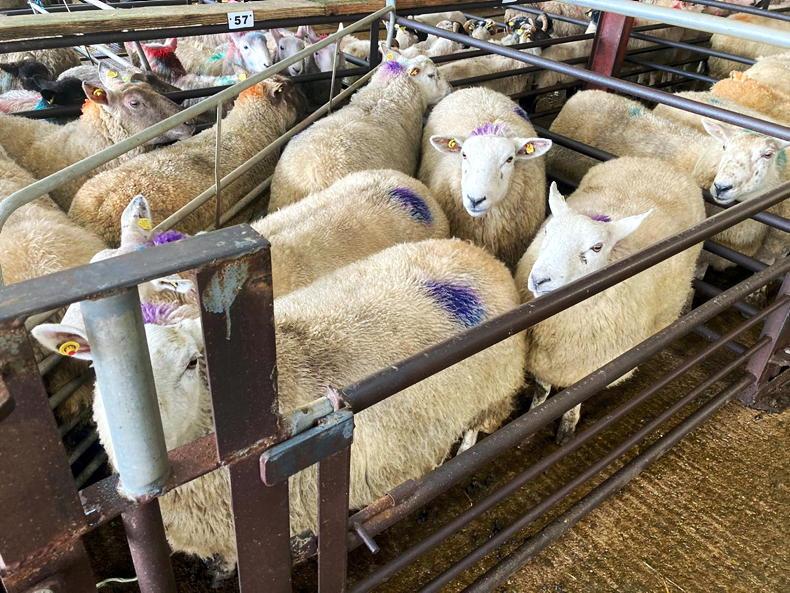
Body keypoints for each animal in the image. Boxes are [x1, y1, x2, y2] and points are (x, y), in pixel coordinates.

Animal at [32, 237, 527, 573]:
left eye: (190, 363)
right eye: (95, 364)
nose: (137, 458)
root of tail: (478, 254)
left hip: (491, 393)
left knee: (477, 429)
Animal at [515, 158, 705, 443]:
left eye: (597, 247)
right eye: (547, 231)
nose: (539, 280)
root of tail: (660, 163)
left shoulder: (592, 365)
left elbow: (574, 398)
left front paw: (567, 429)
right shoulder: (544, 355)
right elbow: (541, 388)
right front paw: (532, 420)